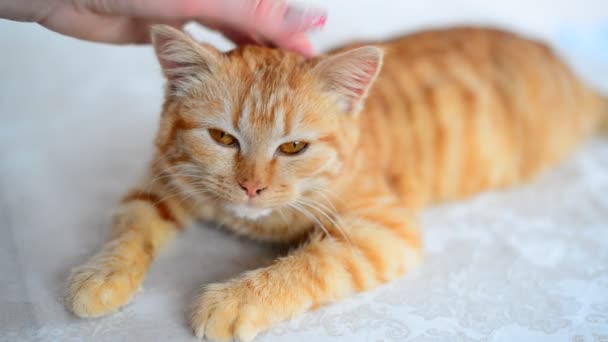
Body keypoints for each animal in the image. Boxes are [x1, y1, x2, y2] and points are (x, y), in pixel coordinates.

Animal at [64, 25, 604, 340]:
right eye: (221, 137)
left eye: (292, 148)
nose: (251, 187)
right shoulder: (165, 178)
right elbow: (132, 225)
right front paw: (102, 275)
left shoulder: (381, 230)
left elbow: (309, 265)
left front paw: (234, 301)